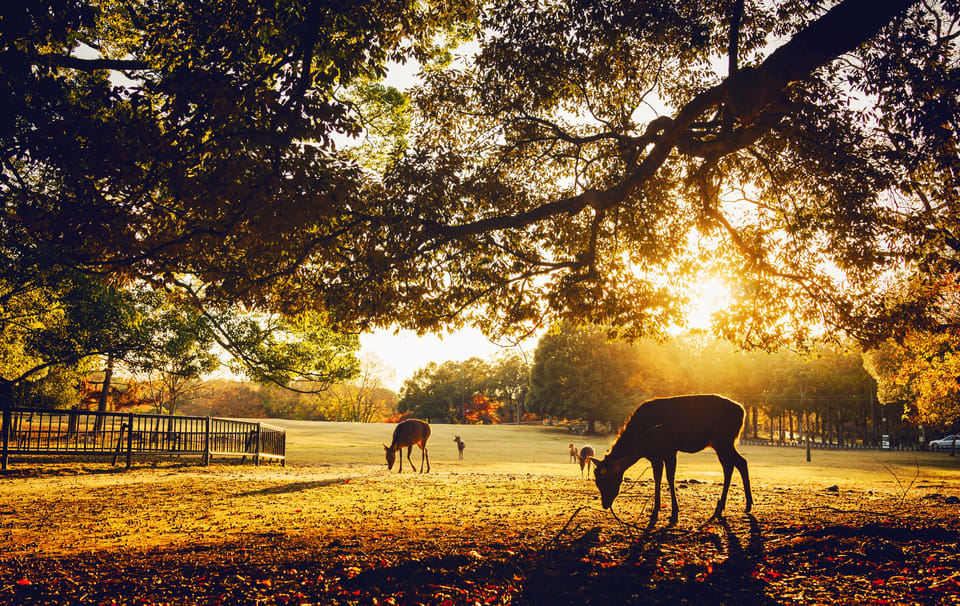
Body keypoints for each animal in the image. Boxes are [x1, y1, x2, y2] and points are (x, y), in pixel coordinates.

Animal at [588, 396, 752, 524]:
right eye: (596, 482)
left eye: (606, 480)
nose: (605, 504)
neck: (641, 445)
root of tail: (743, 412)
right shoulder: (654, 456)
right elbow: (657, 478)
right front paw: (655, 511)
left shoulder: (670, 450)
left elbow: (670, 478)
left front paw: (674, 513)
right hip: (723, 443)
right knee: (740, 462)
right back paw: (745, 505)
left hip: (723, 441)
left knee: (730, 466)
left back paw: (720, 509)